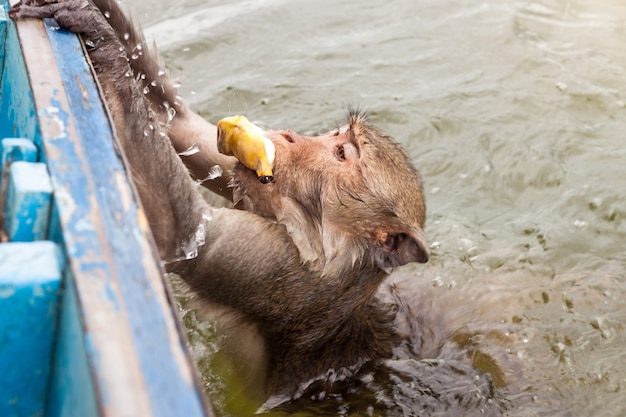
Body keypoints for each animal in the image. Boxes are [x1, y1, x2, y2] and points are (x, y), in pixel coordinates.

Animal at [9, 1, 516, 414]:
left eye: (342, 153)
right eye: (336, 137)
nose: (289, 136)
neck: (326, 247)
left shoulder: (283, 273)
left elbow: (184, 234)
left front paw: (95, 32)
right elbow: (185, 128)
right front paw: (95, 13)